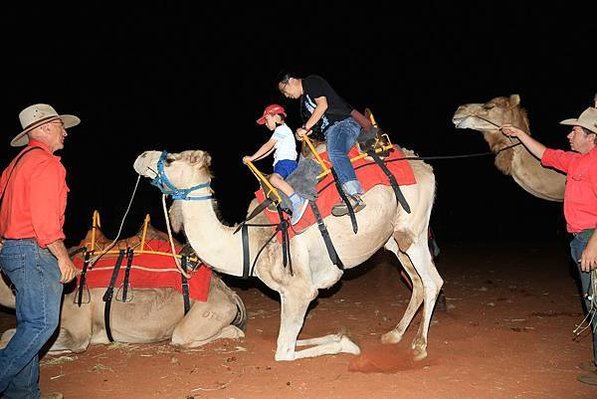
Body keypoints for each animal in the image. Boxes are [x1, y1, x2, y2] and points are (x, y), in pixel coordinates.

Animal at [135, 148, 442, 362]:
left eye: (171, 159)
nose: (141, 156)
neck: (248, 243)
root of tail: (425, 167)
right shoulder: (285, 293)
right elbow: (291, 339)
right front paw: (339, 334)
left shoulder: (300, 290)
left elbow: (284, 350)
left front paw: (347, 344)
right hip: (394, 241)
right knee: (416, 281)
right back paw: (394, 334)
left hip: (413, 231)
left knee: (432, 281)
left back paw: (419, 347)